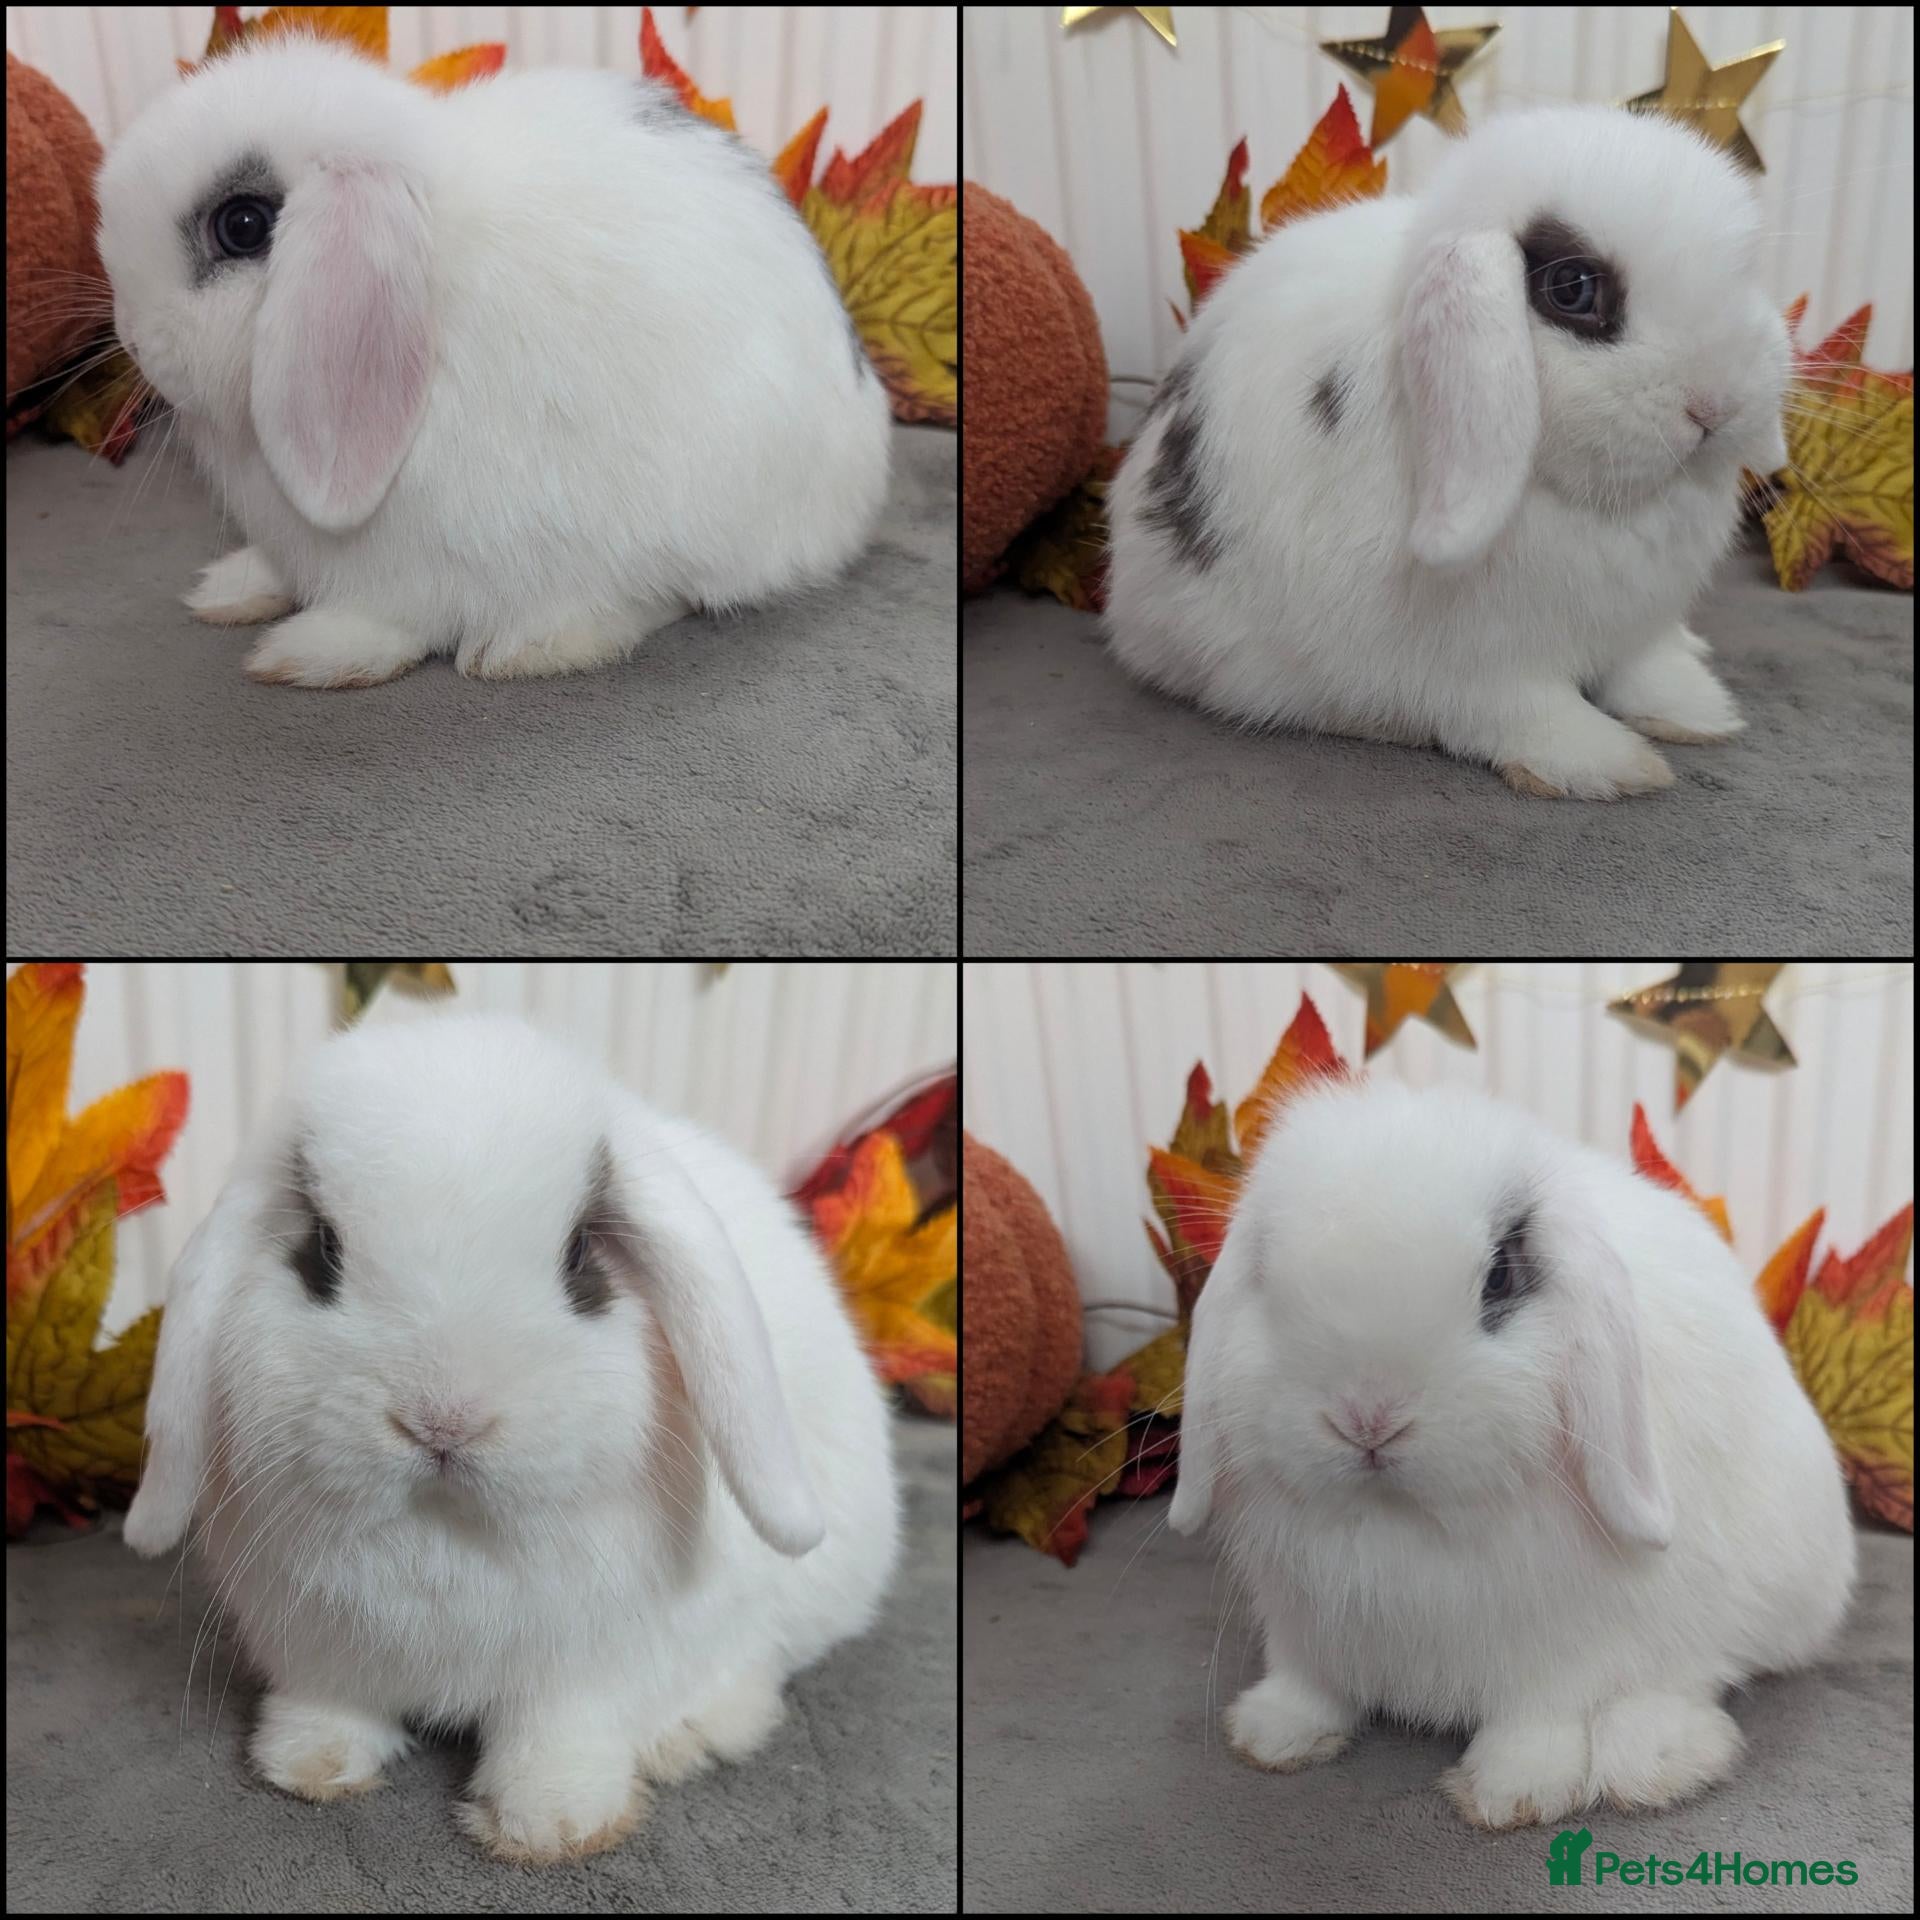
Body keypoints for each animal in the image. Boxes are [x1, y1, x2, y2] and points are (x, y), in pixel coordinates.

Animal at [95, 35, 891, 689]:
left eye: (244, 225)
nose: (131, 338)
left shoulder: (419, 566)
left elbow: (389, 619)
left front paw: (309, 654)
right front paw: (232, 590)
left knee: (662, 594)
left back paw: (533, 646)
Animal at [123, 1012, 900, 1862]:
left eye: (579, 1253)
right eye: (322, 1251)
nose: (442, 1419)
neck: (447, 1532)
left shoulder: (586, 1673)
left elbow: (561, 1735)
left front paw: (551, 1826)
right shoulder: (321, 1654)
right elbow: (335, 1709)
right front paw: (308, 1766)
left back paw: (692, 1735)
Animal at [1106, 105, 1791, 799]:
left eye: (1740, 277)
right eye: (1571, 288)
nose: (1714, 406)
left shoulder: (1635, 631)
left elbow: (1645, 672)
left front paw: (1700, 713)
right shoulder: (1481, 669)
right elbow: (1525, 712)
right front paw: (1609, 766)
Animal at [1170, 1077, 1854, 1829]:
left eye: (1499, 1277)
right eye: (1266, 1275)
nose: (1368, 1419)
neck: (1399, 1521)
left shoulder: (1558, 1649)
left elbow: (1538, 1716)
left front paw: (1514, 1793)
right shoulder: (1301, 1625)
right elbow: (1308, 1682)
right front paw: (1274, 1735)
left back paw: (1654, 1763)